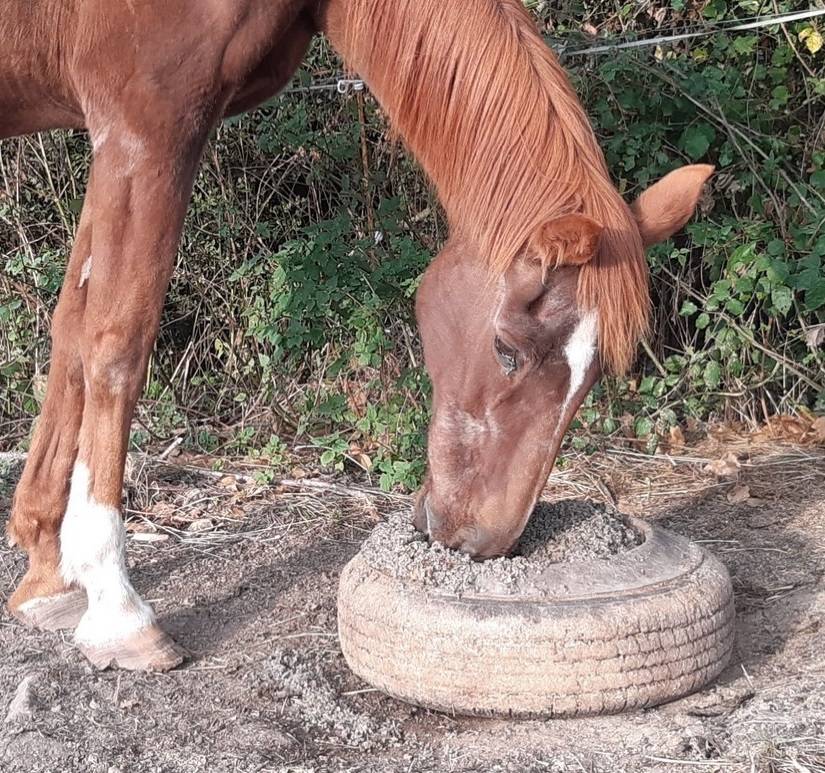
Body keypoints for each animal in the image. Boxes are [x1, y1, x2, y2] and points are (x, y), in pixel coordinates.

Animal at [1, 0, 713, 671]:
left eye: (593, 378)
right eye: (507, 351)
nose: (480, 542)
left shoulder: (120, 146)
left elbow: (71, 332)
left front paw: (49, 574)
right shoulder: (143, 131)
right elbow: (115, 340)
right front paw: (115, 606)